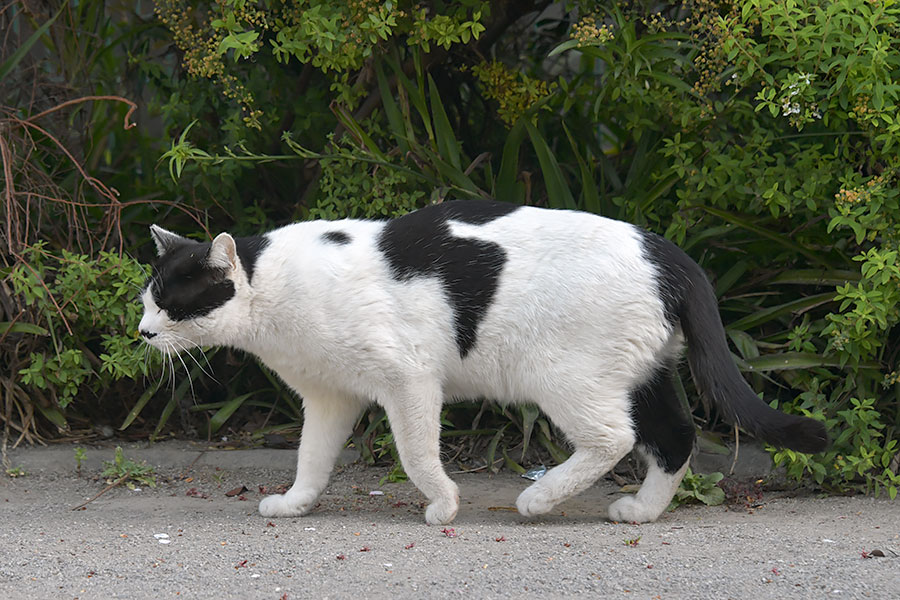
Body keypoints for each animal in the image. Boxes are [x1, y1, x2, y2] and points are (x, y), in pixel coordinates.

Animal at [141, 199, 828, 524]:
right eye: (148, 300)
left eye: (171, 304)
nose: (143, 332)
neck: (272, 289)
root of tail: (668, 252)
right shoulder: (331, 397)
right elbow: (311, 459)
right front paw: (295, 503)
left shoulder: (409, 380)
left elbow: (417, 455)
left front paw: (444, 504)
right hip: (646, 375)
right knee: (674, 437)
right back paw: (640, 511)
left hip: (564, 377)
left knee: (613, 437)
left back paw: (540, 499)